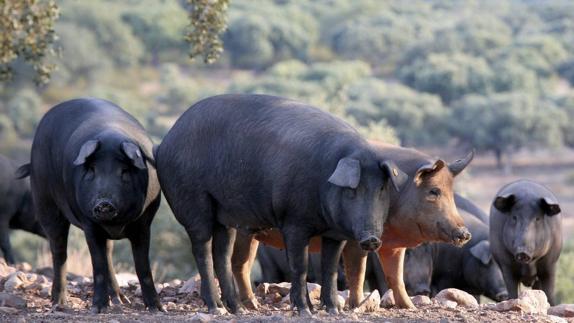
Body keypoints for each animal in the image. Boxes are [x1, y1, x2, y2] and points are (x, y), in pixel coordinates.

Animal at [18, 98, 162, 314]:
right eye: (92, 170)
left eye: (124, 171)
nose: (104, 204)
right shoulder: (89, 225)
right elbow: (98, 265)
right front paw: (97, 309)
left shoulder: (144, 223)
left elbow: (142, 266)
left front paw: (157, 309)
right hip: (44, 200)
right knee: (59, 251)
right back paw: (59, 303)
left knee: (108, 253)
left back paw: (121, 301)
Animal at [155, 94, 408, 316]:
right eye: (353, 190)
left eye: (381, 189)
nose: (372, 239)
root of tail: (166, 141)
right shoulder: (293, 222)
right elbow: (300, 266)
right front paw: (306, 312)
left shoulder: (334, 234)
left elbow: (329, 269)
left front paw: (333, 311)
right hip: (192, 202)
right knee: (201, 249)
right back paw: (216, 309)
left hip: (223, 216)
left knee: (222, 254)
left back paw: (236, 310)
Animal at [232, 144, 474, 312]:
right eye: (434, 191)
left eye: (451, 193)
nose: (465, 234)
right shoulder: (357, 239)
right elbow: (358, 270)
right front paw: (356, 306)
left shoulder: (393, 246)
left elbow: (395, 276)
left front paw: (410, 308)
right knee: (238, 264)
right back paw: (249, 306)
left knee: (242, 265)